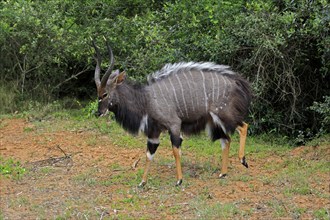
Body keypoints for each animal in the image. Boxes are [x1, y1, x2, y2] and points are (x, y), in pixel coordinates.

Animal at [93, 41, 253, 186]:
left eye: (105, 94)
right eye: (98, 93)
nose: (98, 112)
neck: (146, 99)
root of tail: (237, 82)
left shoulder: (174, 124)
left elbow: (176, 150)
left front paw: (179, 180)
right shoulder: (154, 132)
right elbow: (149, 154)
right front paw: (142, 182)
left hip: (224, 115)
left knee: (243, 126)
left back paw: (243, 160)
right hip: (214, 122)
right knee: (226, 139)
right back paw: (223, 173)